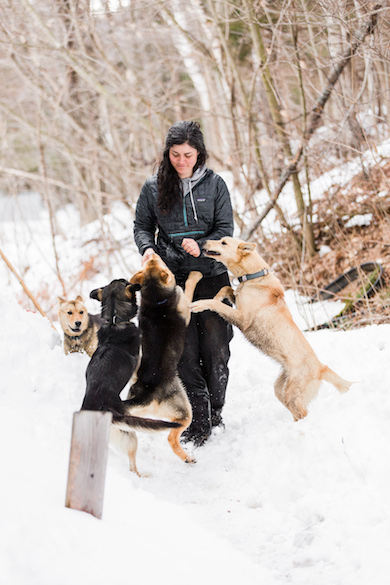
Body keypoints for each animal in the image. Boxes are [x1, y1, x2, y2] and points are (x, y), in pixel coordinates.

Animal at [81, 278, 181, 474]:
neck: (114, 320)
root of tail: (100, 411)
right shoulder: (139, 361)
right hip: (131, 434)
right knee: (132, 465)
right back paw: (142, 475)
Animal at [125, 256, 204, 466]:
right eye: (161, 262)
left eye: (152, 262)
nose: (151, 254)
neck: (156, 299)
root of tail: (148, 393)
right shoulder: (186, 306)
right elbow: (188, 288)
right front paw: (195, 275)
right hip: (185, 412)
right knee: (171, 438)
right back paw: (187, 458)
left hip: (138, 411)